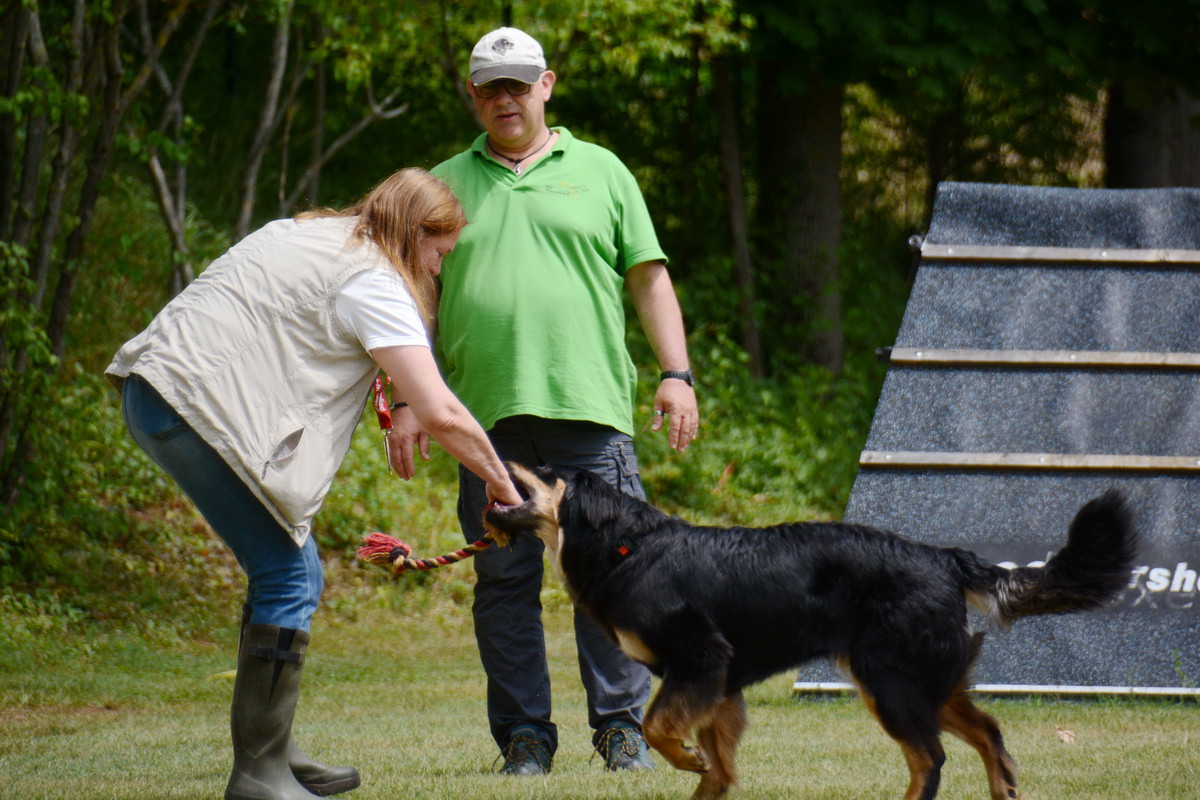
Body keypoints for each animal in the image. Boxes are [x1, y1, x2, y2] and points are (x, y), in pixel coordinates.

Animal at [482, 462, 1137, 800]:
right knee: (989, 734)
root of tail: (943, 557)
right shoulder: (721, 684)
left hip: (889, 683)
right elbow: (720, 768)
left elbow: (660, 726)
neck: (628, 547)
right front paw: (704, 774)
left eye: (540, 470)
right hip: (927, 683)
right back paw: (1004, 790)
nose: (494, 454)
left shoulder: (703, 659)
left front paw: (686, 759)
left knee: (930, 758)